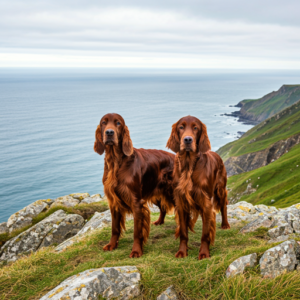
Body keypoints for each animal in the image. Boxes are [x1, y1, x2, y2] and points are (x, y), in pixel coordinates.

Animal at [93, 113, 173, 258]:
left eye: (118, 123)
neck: (116, 162)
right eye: (103, 122)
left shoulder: (136, 202)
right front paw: (112, 245)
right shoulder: (114, 202)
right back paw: (159, 222)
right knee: (163, 208)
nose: (109, 132)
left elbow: (137, 231)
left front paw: (136, 251)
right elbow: (114, 228)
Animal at [166, 115, 230, 260]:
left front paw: (204, 253)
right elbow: (183, 232)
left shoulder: (205, 202)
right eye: (181, 127)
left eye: (195, 128)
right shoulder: (181, 202)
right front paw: (182, 252)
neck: (189, 165)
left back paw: (225, 224)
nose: (188, 140)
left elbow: (205, 233)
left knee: (223, 205)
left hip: (220, 189)